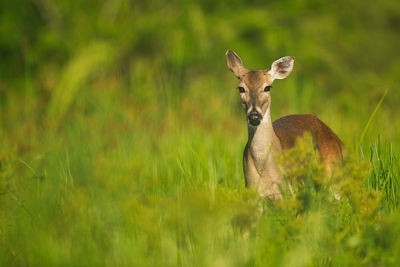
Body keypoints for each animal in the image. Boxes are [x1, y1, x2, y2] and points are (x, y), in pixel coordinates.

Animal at [227, 50, 346, 201]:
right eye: (241, 88)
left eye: (267, 87)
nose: (254, 116)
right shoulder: (252, 191)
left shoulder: (286, 192)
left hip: (335, 171)